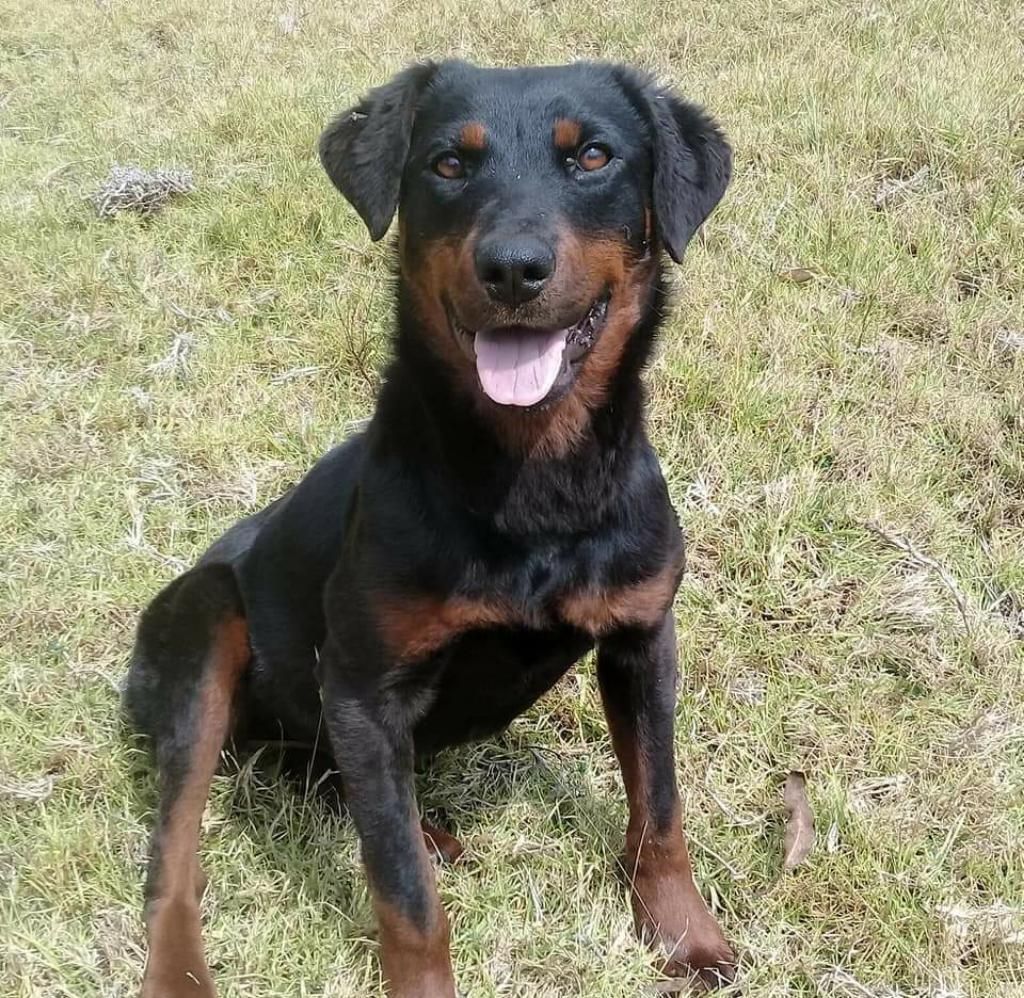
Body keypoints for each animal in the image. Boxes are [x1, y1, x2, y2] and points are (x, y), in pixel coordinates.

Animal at [125, 62, 737, 998]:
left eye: (594, 155)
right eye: (449, 164)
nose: (513, 268)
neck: (532, 478)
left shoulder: (642, 640)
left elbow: (660, 809)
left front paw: (683, 936)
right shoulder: (364, 689)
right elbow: (405, 898)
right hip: (202, 639)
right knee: (179, 856)